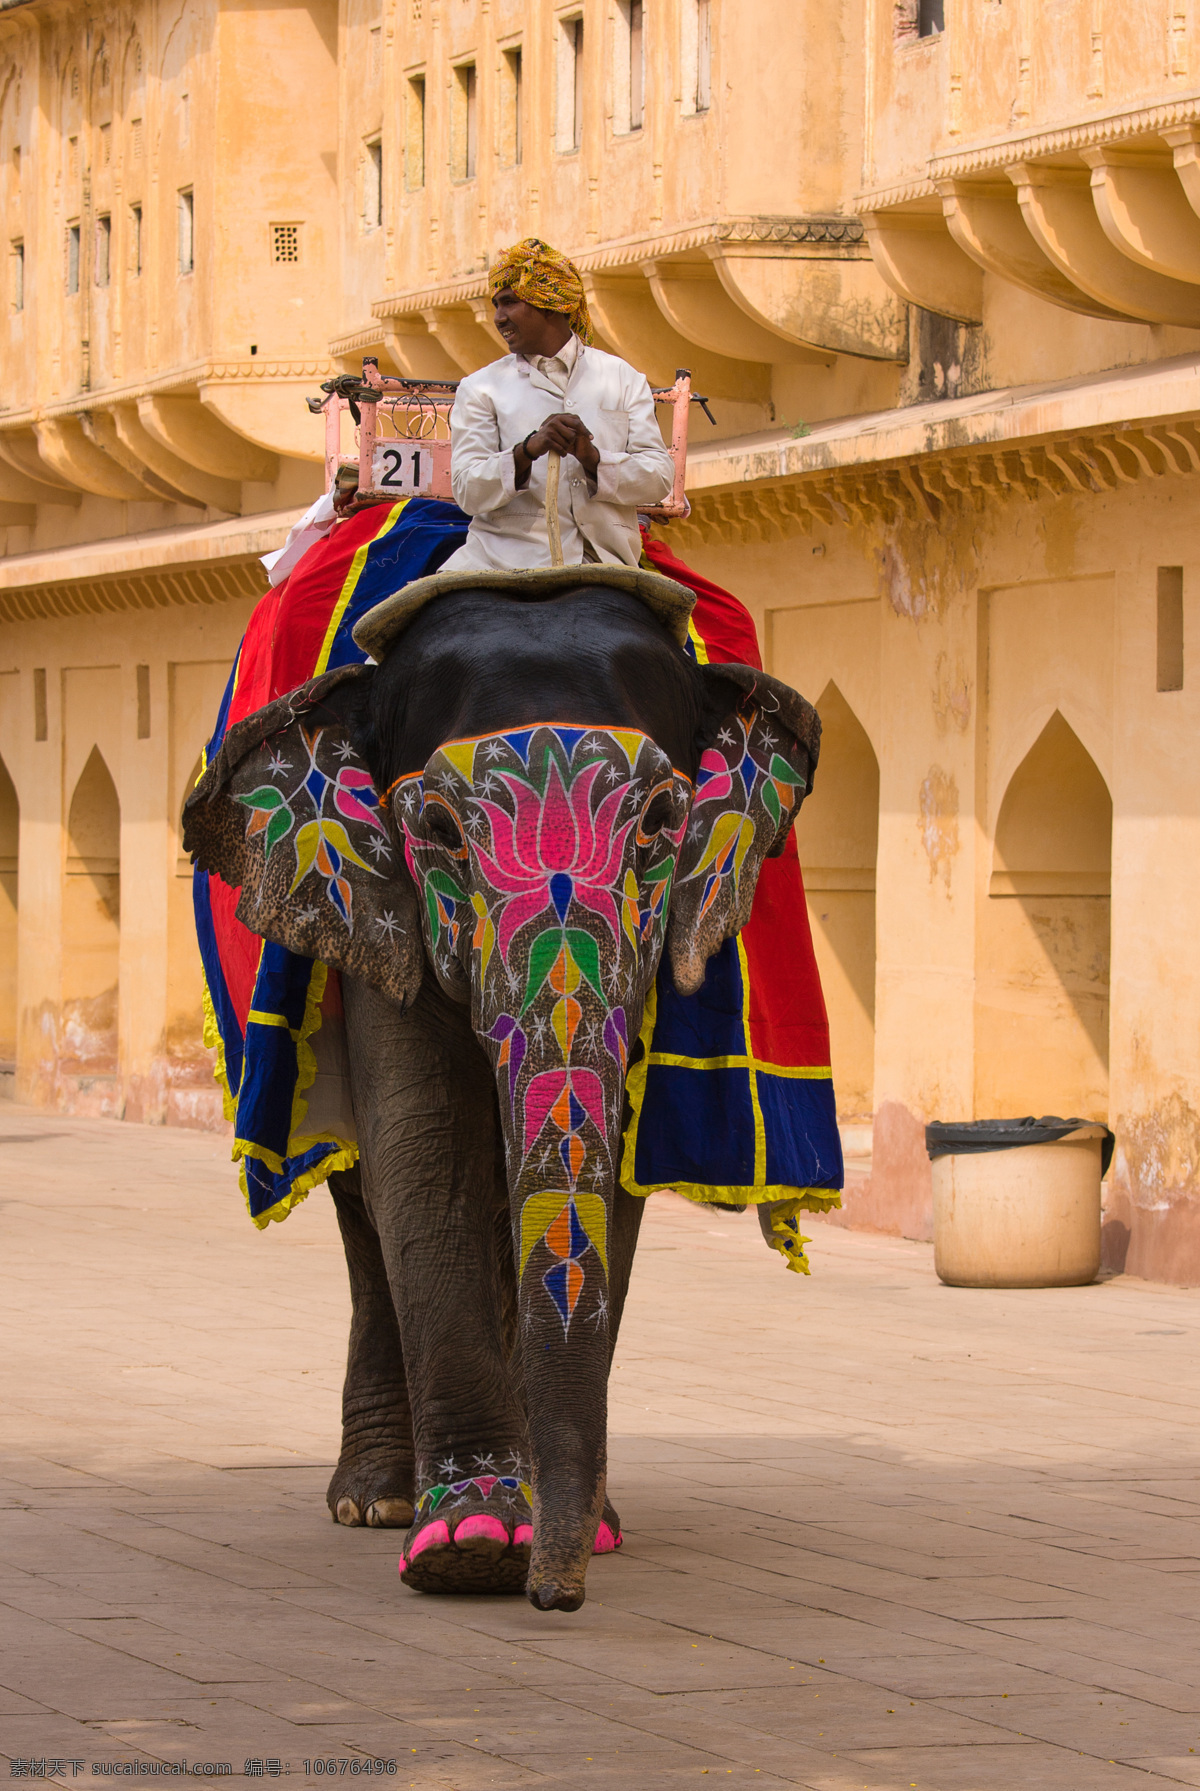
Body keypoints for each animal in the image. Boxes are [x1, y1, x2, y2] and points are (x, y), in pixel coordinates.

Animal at [183, 565, 823, 1619]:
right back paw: (378, 1501)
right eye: (438, 830)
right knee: (365, 1209)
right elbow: (425, 1154)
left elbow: (611, 1177)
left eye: (661, 822)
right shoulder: (381, 913)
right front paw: (471, 1544)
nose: (556, 1600)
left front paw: (578, 1530)